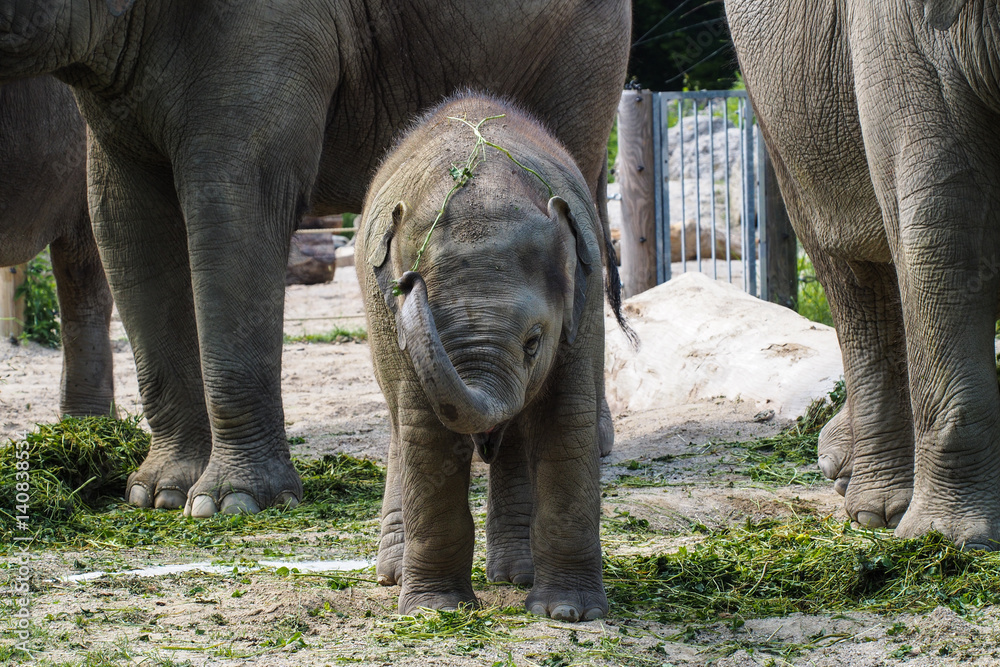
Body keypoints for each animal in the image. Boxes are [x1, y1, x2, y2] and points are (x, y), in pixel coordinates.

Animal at [357, 92, 611, 620]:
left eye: (534, 342)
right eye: (406, 292)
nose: (409, 279)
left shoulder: (585, 299)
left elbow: (567, 419)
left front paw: (569, 613)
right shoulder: (402, 335)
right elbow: (425, 432)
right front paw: (435, 611)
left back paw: (516, 577)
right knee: (399, 426)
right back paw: (394, 574)